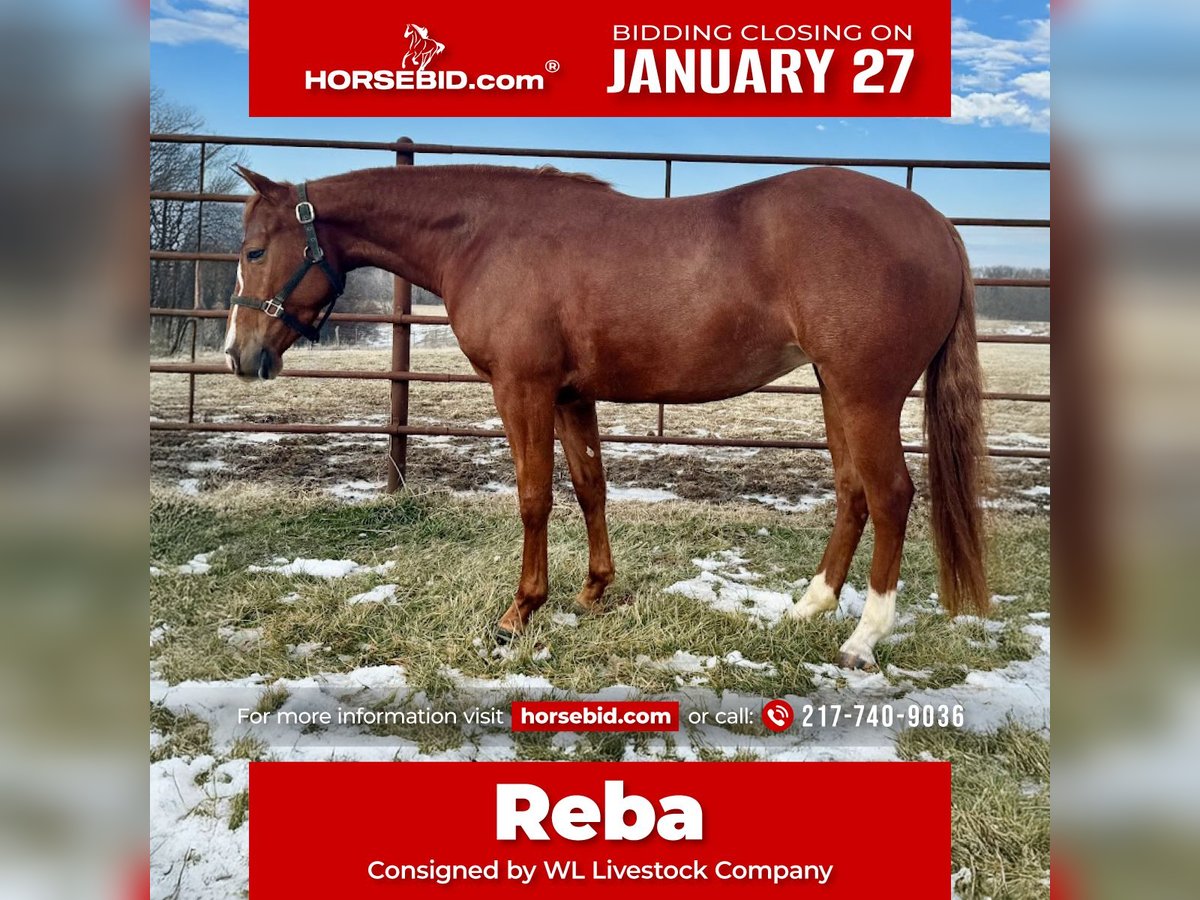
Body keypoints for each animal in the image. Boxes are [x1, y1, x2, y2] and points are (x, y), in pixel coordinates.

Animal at [223, 162, 984, 672]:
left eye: (255, 251)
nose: (239, 354)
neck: (484, 236)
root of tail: (936, 224)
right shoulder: (570, 396)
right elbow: (590, 487)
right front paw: (592, 591)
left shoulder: (523, 390)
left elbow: (534, 497)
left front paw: (518, 613)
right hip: (835, 391)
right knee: (853, 493)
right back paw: (808, 606)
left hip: (866, 394)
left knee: (891, 495)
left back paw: (863, 637)